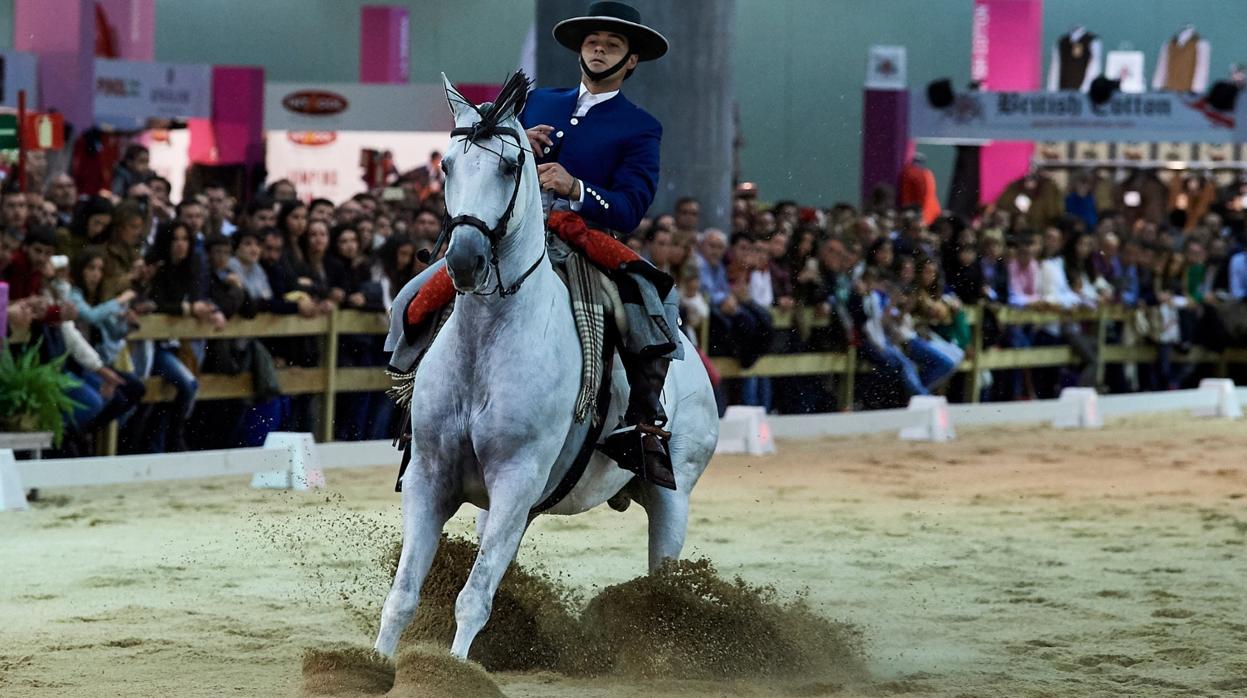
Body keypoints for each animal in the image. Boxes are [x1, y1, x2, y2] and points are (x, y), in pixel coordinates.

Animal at [374, 75, 718, 658]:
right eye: (446, 165)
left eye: (512, 166)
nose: (464, 260)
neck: (486, 344)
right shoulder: (430, 477)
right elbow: (402, 595)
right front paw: (373, 664)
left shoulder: (517, 479)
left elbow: (474, 597)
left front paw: (454, 669)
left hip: (672, 496)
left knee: (662, 584)